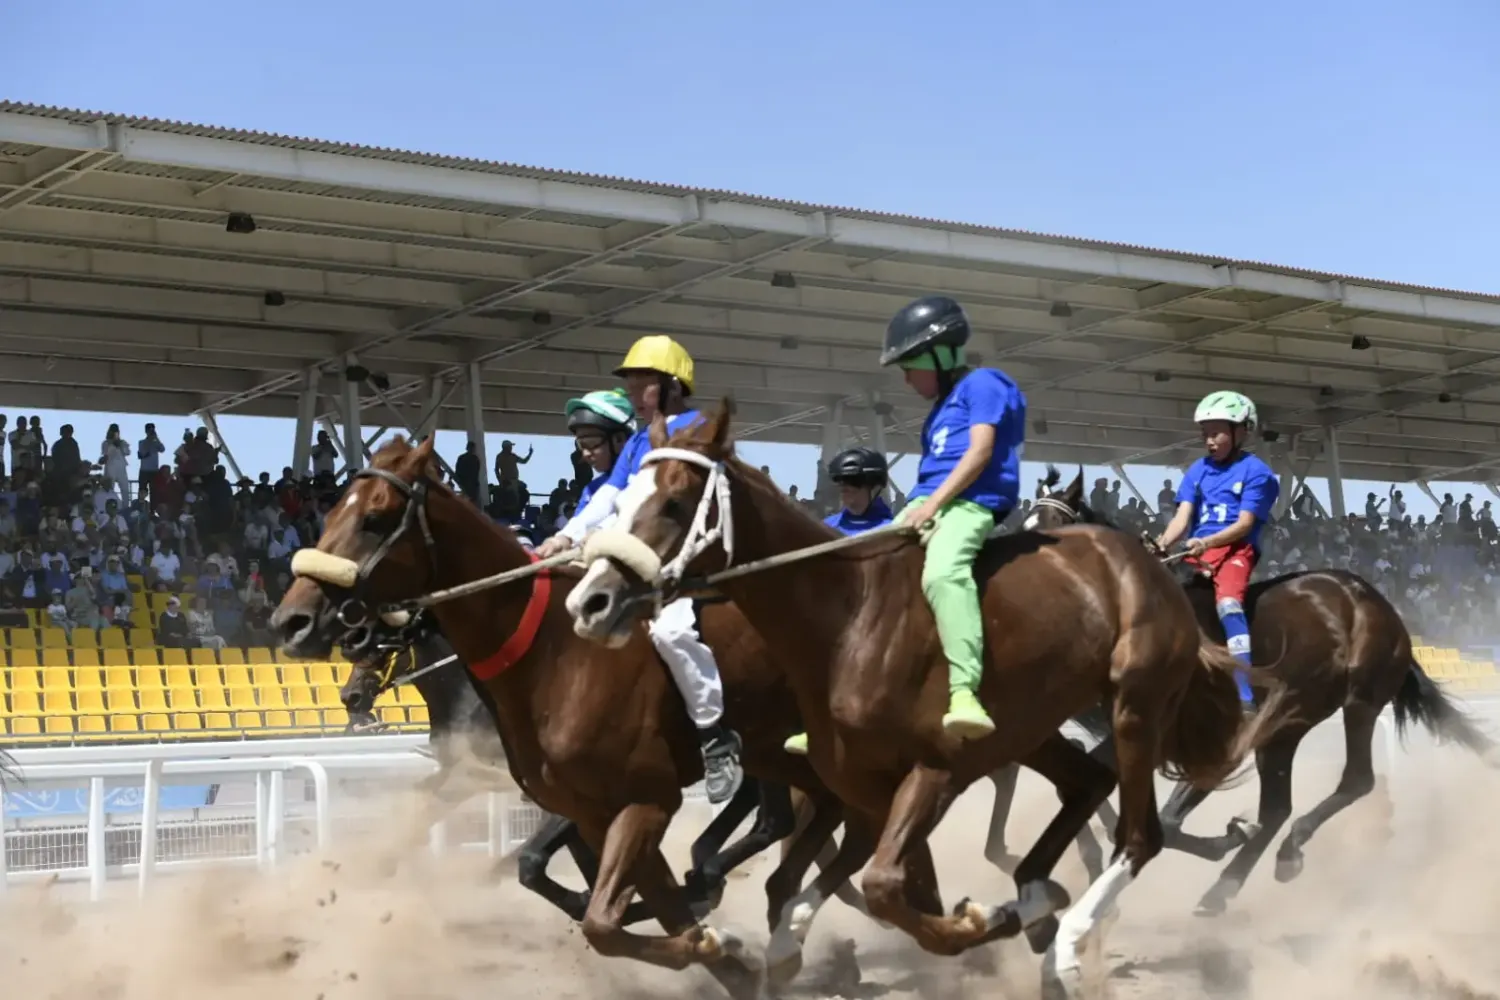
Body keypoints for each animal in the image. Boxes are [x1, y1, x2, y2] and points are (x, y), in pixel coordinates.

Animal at [267, 440, 870, 1000]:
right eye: (330, 512)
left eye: (375, 517)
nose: (292, 620)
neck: (550, 656)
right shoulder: (569, 802)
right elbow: (623, 898)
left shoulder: (635, 799)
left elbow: (564, 885)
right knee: (818, 818)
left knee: (792, 820)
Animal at [564, 404, 1290, 995]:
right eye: (621, 500)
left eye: (675, 503)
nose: (592, 601)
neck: (846, 618)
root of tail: (1144, 568)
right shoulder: (862, 786)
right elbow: (851, 886)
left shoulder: (936, 770)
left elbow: (886, 887)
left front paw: (980, 920)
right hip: (1036, 728)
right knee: (1088, 784)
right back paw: (1037, 898)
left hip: (1135, 706)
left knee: (1140, 835)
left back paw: (1067, 943)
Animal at [1014, 470, 1494, 917]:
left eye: (1055, 529)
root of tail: (1378, 604)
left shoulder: (1210, 742)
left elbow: (1167, 819)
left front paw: (1222, 837)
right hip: (1286, 726)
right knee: (1278, 807)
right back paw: (1229, 885)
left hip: (1357, 702)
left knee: (1355, 779)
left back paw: (1283, 854)